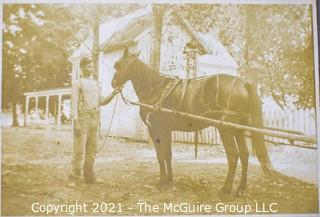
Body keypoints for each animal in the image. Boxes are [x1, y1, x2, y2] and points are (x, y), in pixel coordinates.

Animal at [110, 48, 272, 197]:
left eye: (117, 64)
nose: (113, 83)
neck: (157, 89)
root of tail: (243, 83)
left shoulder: (156, 130)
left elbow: (160, 156)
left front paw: (162, 182)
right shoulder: (166, 131)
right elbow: (168, 155)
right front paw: (169, 180)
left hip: (225, 129)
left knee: (233, 156)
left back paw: (225, 189)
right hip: (238, 129)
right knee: (244, 154)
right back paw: (241, 189)